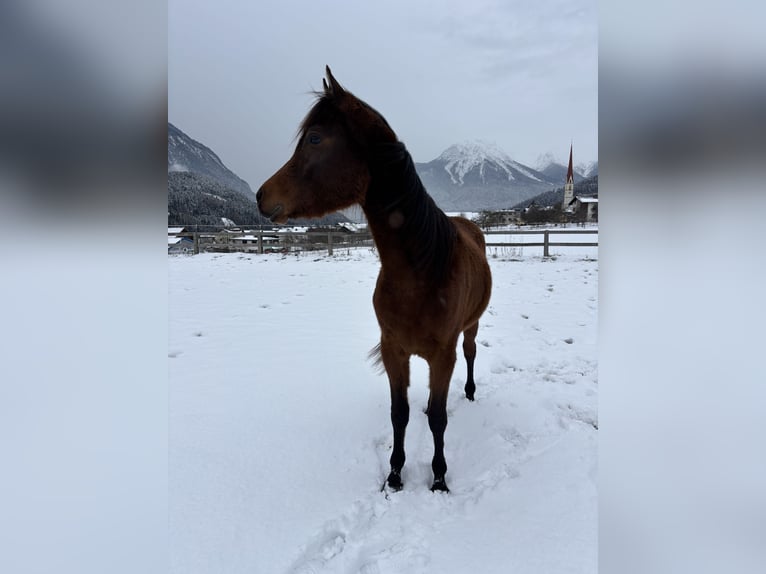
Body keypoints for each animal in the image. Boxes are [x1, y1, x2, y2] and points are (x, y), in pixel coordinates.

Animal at [257, 67, 492, 492]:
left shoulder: (442, 354)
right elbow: (400, 413)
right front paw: (395, 474)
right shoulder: (393, 350)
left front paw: (439, 478)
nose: (261, 196)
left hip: (470, 328)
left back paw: (468, 392)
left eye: (315, 138)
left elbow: (438, 419)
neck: (418, 275)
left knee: (470, 354)